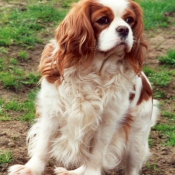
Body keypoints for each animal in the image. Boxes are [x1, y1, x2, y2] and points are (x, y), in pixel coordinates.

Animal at [8, 0, 159, 174]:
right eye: (103, 20)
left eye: (129, 20)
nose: (124, 29)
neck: (94, 69)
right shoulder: (53, 109)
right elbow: (44, 144)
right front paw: (31, 169)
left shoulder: (108, 120)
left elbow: (96, 155)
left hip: (136, 139)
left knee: (131, 167)